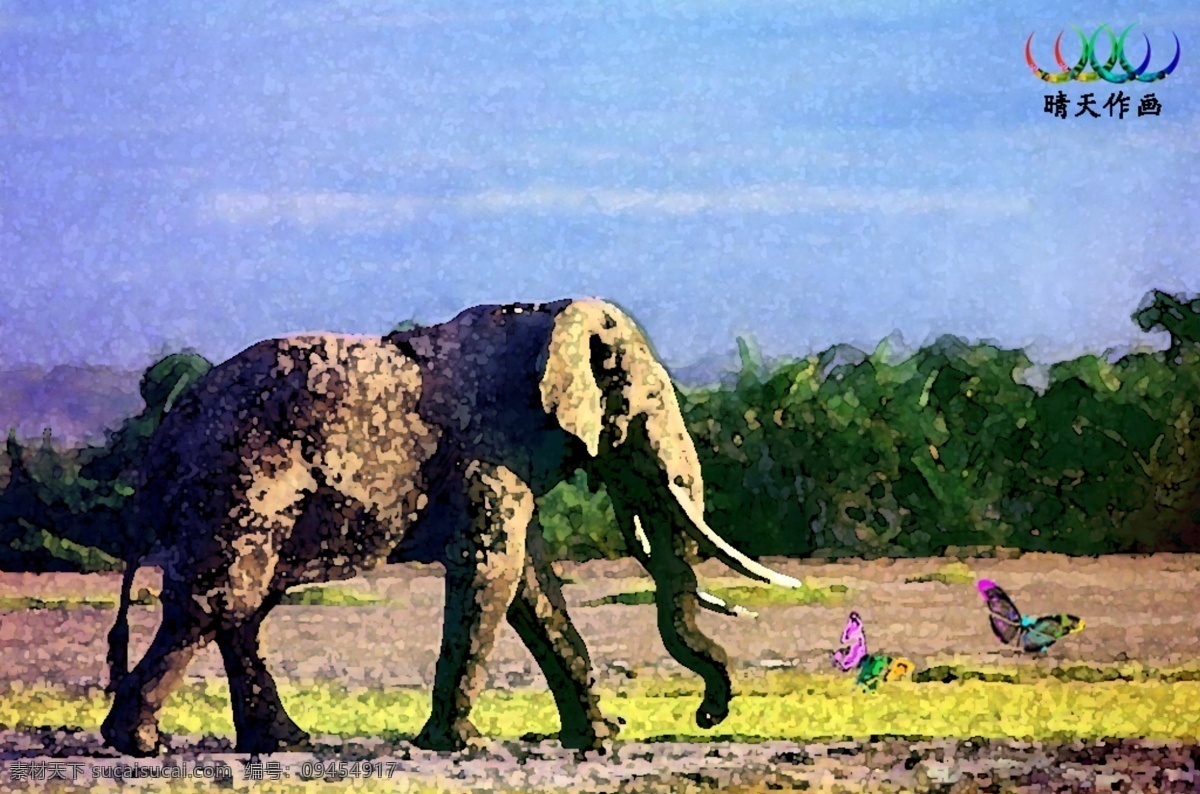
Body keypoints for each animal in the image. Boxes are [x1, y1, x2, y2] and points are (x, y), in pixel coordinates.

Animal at [100, 298, 796, 758]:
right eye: (641, 409)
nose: (707, 715)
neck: (550, 314)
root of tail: (169, 427)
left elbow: (531, 585)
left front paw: (596, 741)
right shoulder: (488, 450)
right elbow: (492, 570)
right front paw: (458, 746)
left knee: (242, 606)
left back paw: (279, 743)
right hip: (242, 478)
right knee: (221, 597)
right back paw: (140, 745)